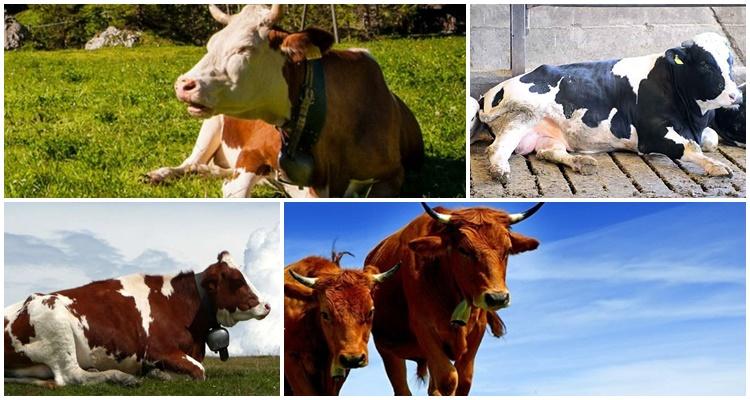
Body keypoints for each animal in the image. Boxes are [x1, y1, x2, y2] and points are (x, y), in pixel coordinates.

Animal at [4, 251, 270, 387]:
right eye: (237, 280)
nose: (267, 305)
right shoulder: (156, 350)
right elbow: (199, 370)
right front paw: (158, 374)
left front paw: (156, 373)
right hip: (56, 322)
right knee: (71, 376)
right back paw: (121, 377)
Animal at [174, 5, 424, 197]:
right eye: (211, 45)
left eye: (244, 48)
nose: (182, 84)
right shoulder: (252, 152)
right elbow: (237, 190)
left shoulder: (393, 174)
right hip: (211, 125)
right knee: (189, 163)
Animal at [365, 203, 542, 395]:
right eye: (463, 250)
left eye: (508, 250)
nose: (498, 298)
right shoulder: (424, 329)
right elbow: (448, 379)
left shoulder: (477, 331)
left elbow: (464, 380)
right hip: (387, 349)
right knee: (402, 389)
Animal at [475, 32, 743, 183]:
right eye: (705, 63)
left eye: (730, 61)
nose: (736, 95)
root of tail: (488, 93)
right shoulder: (651, 134)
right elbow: (689, 147)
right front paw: (717, 166)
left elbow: (710, 140)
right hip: (524, 113)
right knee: (497, 148)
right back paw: (500, 171)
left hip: (547, 134)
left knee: (546, 152)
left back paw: (582, 162)